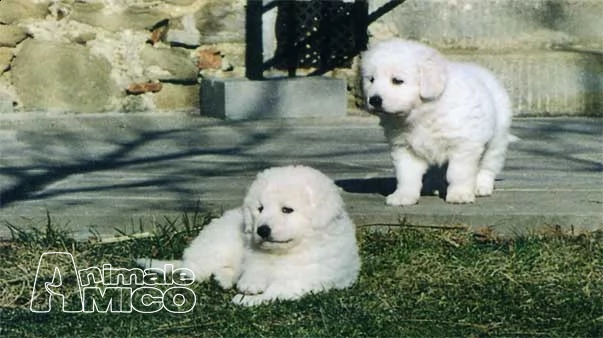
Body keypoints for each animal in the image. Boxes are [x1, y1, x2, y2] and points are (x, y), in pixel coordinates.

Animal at [139, 166, 360, 306]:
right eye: (260, 209)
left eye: (287, 210)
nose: (262, 230)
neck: (288, 251)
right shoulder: (255, 255)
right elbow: (256, 268)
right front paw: (250, 285)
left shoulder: (304, 281)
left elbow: (275, 291)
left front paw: (247, 299)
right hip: (219, 245)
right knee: (193, 269)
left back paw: (224, 279)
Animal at [364, 38, 516, 205]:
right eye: (371, 80)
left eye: (397, 81)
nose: (374, 100)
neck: (424, 113)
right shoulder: (404, 148)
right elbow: (407, 176)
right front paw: (404, 196)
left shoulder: (463, 145)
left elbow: (458, 173)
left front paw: (459, 194)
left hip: (496, 140)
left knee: (488, 166)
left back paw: (481, 186)